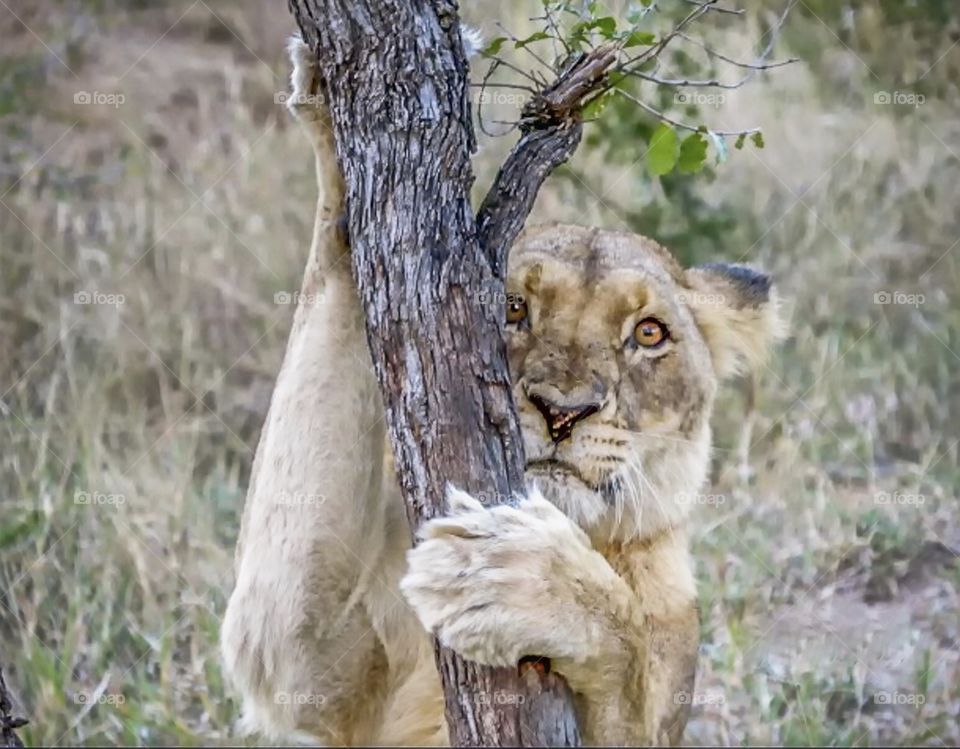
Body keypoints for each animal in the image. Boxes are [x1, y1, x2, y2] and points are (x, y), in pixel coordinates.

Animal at [220, 35, 783, 747]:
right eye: (513, 308)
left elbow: (624, 646)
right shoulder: (307, 659)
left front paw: (511, 576)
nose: (562, 412)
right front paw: (333, 88)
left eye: (648, 333)